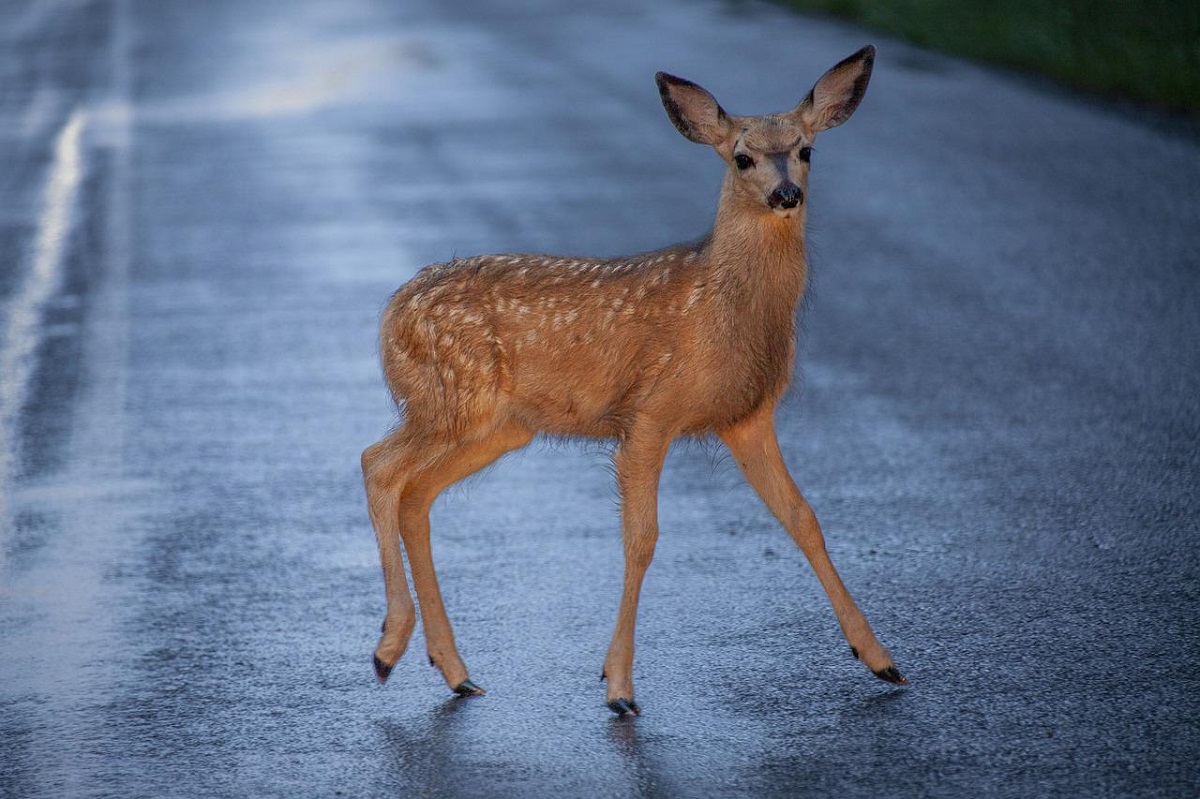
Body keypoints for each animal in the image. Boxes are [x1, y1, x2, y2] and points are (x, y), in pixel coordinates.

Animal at [360, 46, 902, 710]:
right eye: (742, 156)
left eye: (807, 149)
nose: (785, 193)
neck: (719, 309)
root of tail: (391, 310)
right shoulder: (650, 411)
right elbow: (642, 539)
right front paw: (618, 685)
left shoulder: (747, 416)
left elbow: (804, 519)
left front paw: (881, 660)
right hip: (449, 397)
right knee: (379, 464)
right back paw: (388, 648)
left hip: (497, 427)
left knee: (416, 493)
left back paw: (454, 669)